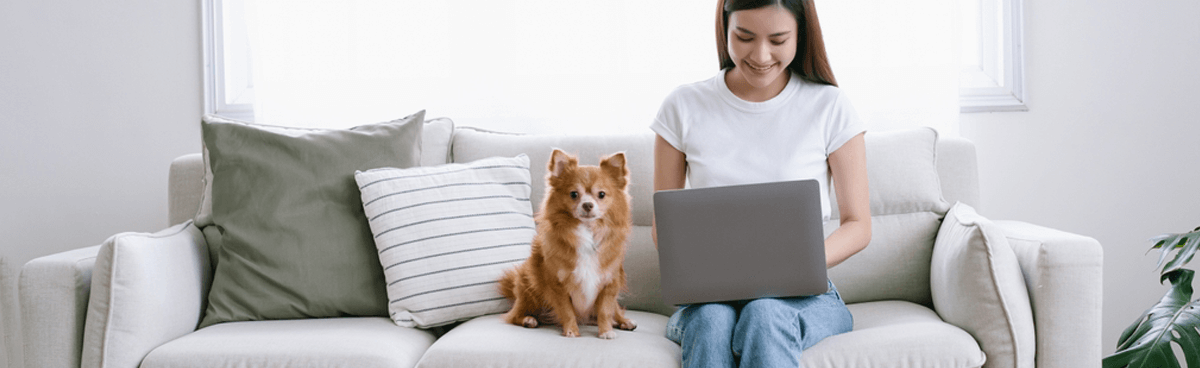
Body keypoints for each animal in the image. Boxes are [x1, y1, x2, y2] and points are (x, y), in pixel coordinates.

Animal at [496, 149, 638, 340]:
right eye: (573, 194)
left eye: (601, 194)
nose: (587, 204)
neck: (588, 231)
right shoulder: (557, 285)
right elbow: (567, 310)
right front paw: (571, 331)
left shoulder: (609, 284)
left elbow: (605, 311)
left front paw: (606, 331)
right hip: (529, 286)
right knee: (514, 315)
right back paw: (529, 319)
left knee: (615, 310)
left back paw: (623, 321)